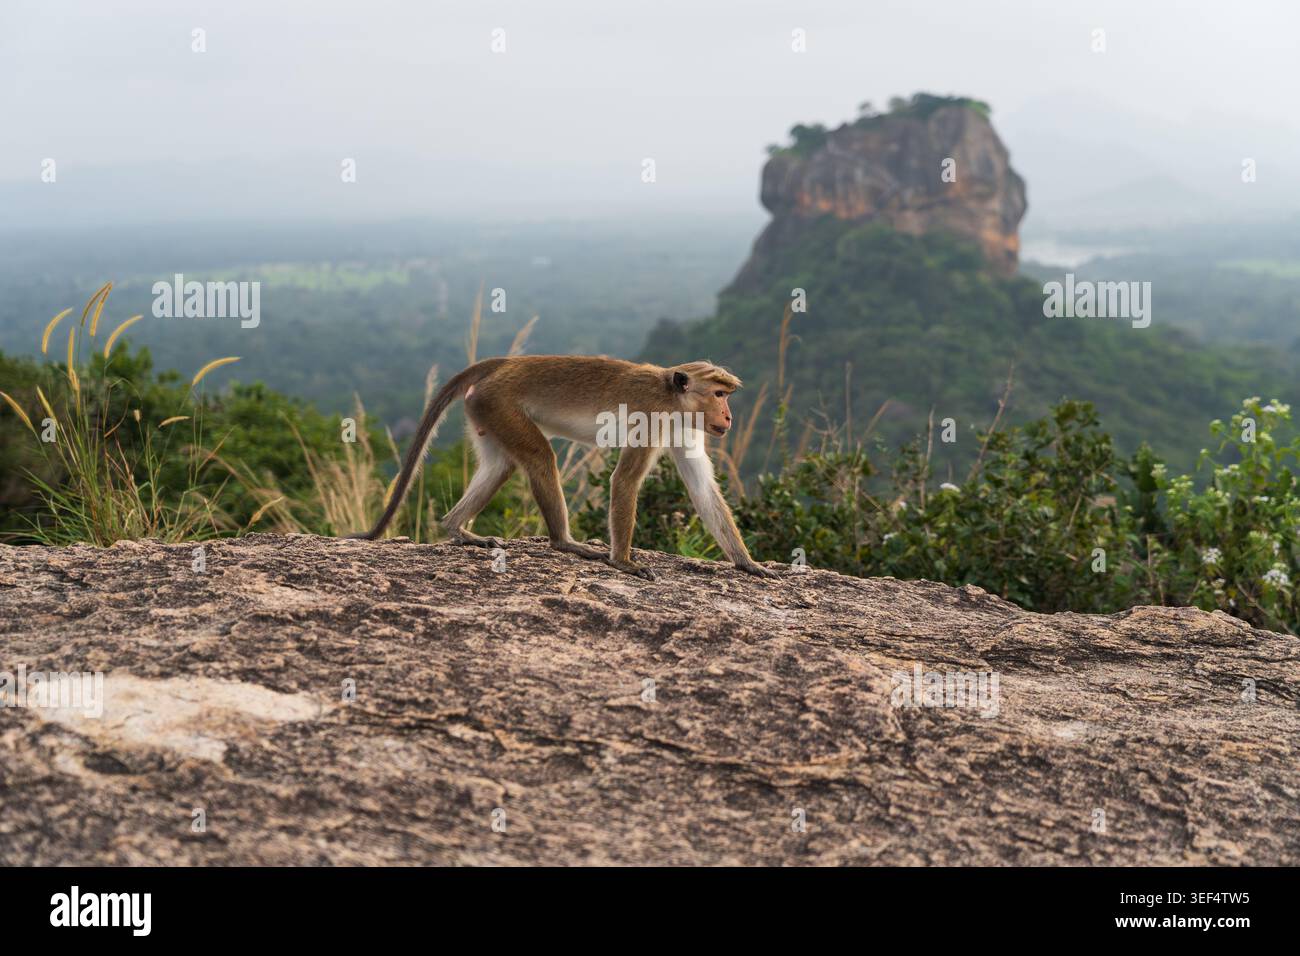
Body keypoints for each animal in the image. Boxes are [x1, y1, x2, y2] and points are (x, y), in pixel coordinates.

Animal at [349, 355, 777, 579]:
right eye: (719, 394)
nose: (729, 416)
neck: (674, 400)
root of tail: (503, 364)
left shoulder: (684, 428)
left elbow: (703, 491)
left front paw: (747, 563)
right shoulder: (650, 419)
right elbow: (624, 482)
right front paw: (624, 562)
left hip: (485, 411)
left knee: (501, 465)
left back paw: (457, 529)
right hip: (500, 404)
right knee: (540, 458)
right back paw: (564, 542)